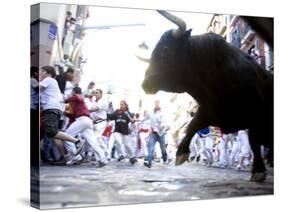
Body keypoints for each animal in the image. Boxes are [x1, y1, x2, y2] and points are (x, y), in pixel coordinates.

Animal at [141, 13, 272, 182]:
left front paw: (258, 171)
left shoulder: (256, 114)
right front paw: (181, 153)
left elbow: (254, 142)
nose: (145, 83)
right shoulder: (209, 111)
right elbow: (192, 126)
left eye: (165, 49)